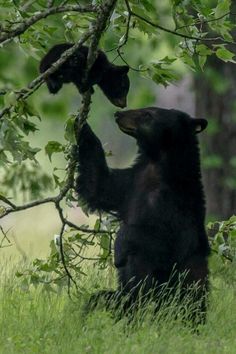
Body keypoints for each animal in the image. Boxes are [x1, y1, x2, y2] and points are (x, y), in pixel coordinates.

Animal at [76, 106, 209, 322]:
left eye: (148, 114)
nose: (118, 114)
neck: (157, 165)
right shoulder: (131, 183)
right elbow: (99, 185)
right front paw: (82, 125)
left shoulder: (178, 205)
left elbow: (164, 240)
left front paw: (119, 247)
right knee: (105, 299)